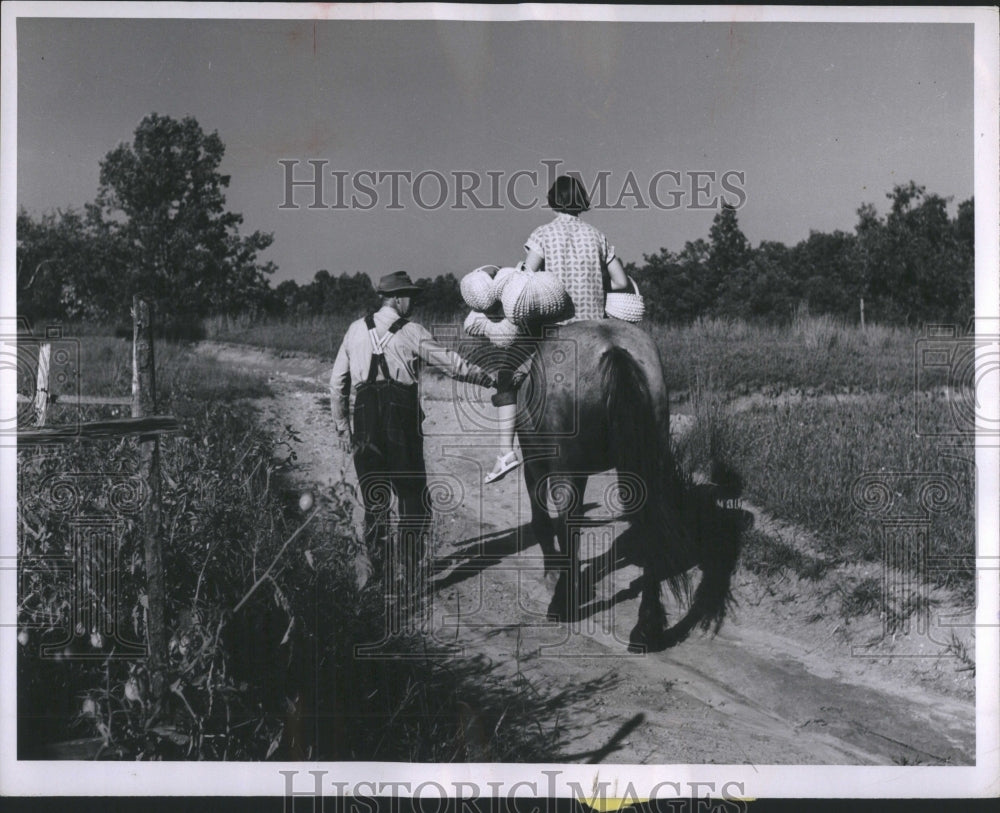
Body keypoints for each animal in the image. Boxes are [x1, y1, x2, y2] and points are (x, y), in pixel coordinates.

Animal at [512, 318, 748, 652]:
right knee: (649, 530)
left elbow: (543, 522)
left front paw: (553, 574)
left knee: (567, 526)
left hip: (562, 467)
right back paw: (646, 627)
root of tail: (613, 349)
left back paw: (562, 604)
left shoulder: (537, 464)